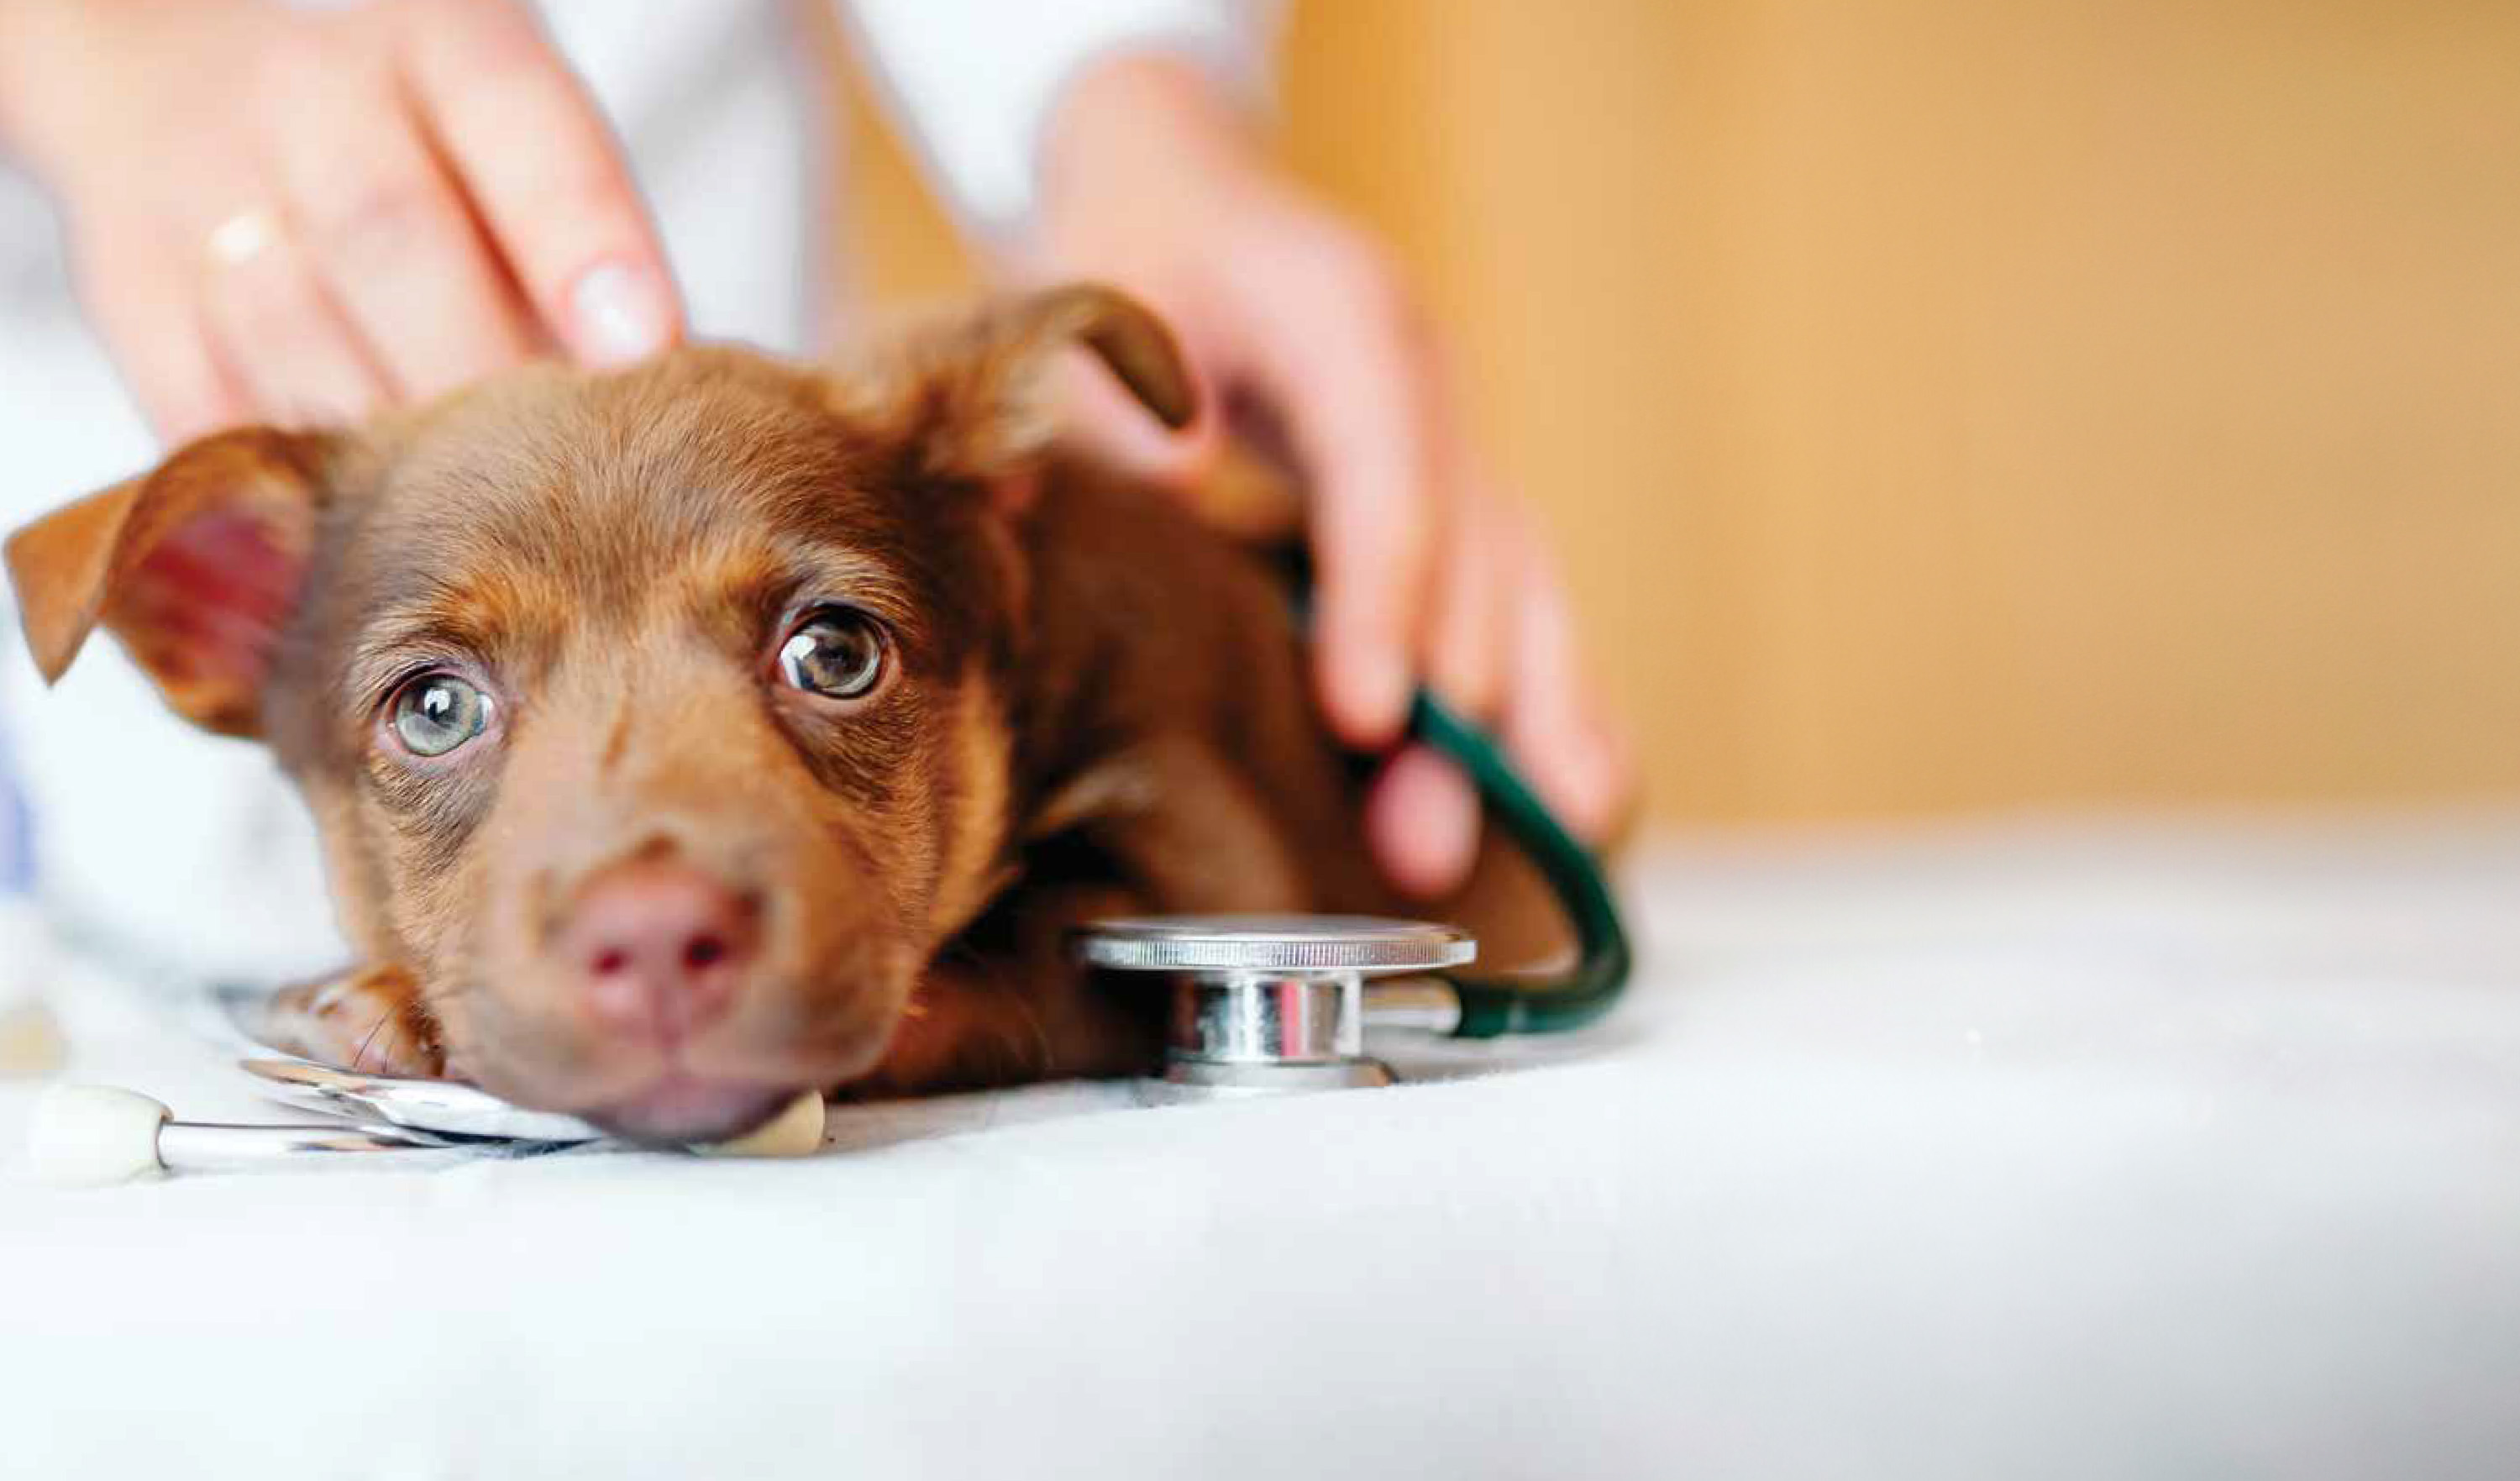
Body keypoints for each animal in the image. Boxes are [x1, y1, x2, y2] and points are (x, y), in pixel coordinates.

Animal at [4, 291, 1552, 1143]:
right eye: (435, 707)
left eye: (836, 651)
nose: (654, 939)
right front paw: (361, 993)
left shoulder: (1197, 837)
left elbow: (1029, 936)